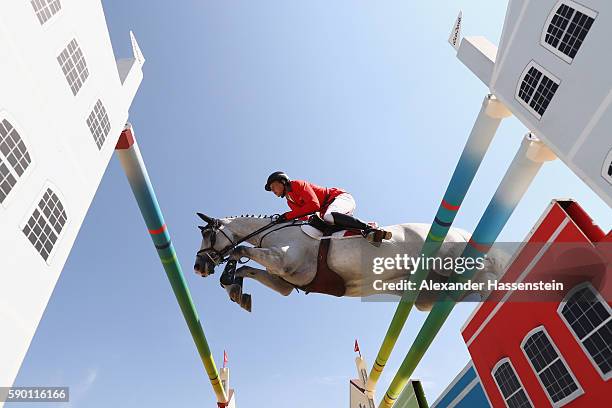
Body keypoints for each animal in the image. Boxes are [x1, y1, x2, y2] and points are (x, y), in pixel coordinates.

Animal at [194, 214, 504, 312]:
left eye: (208, 234)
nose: (199, 267)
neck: (273, 233)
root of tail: (462, 232)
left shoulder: (288, 263)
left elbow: (239, 251)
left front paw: (229, 281)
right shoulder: (285, 282)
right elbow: (247, 266)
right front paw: (237, 291)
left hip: (451, 263)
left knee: (487, 278)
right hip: (428, 291)